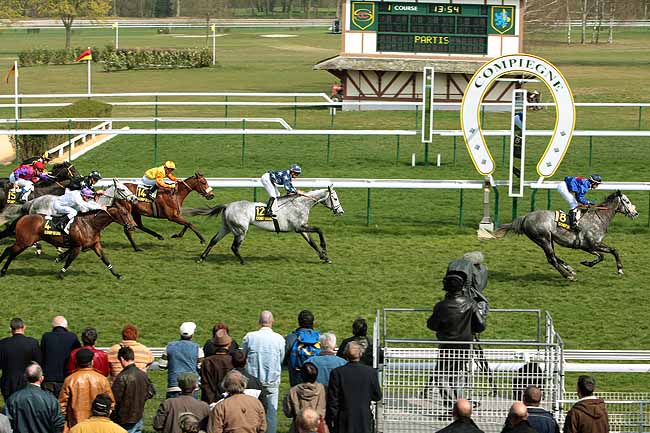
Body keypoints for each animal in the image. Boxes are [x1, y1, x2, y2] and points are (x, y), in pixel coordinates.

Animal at [0, 200, 137, 279]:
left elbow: (105, 259)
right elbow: (69, 260)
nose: (133, 226)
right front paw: (61, 274)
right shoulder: (77, 246)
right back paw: (3, 270)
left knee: (9, 251)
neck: (90, 223)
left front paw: (117, 275)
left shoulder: (95, 244)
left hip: (24, 242)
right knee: (10, 252)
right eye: (125, 213)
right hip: (24, 242)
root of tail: (23, 217)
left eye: (129, 212)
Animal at [185, 187, 344, 264]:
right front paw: (324, 249)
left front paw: (324, 257)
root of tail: (227, 205)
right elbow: (319, 230)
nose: (340, 211)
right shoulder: (299, 227)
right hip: (240, 230)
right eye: (335, 198)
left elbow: (312, 243)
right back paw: (243, 261)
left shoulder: (302, 228)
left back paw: (202, 258)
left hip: (226, 228)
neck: (300, 204)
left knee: (214, 240)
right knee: (234, 247)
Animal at [494, 191, 639, 281]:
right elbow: (602, 256)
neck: (598, 218)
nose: (636, 213)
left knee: (553, 257)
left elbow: (613, 251)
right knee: (551, 259)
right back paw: (568, 275)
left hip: (547, 240)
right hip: (543, 238)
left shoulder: (592, 245)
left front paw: (620, 270)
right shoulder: (591, 245)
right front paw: (587, 263)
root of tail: (525, 217)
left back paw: (570, 270)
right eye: (626, 201)